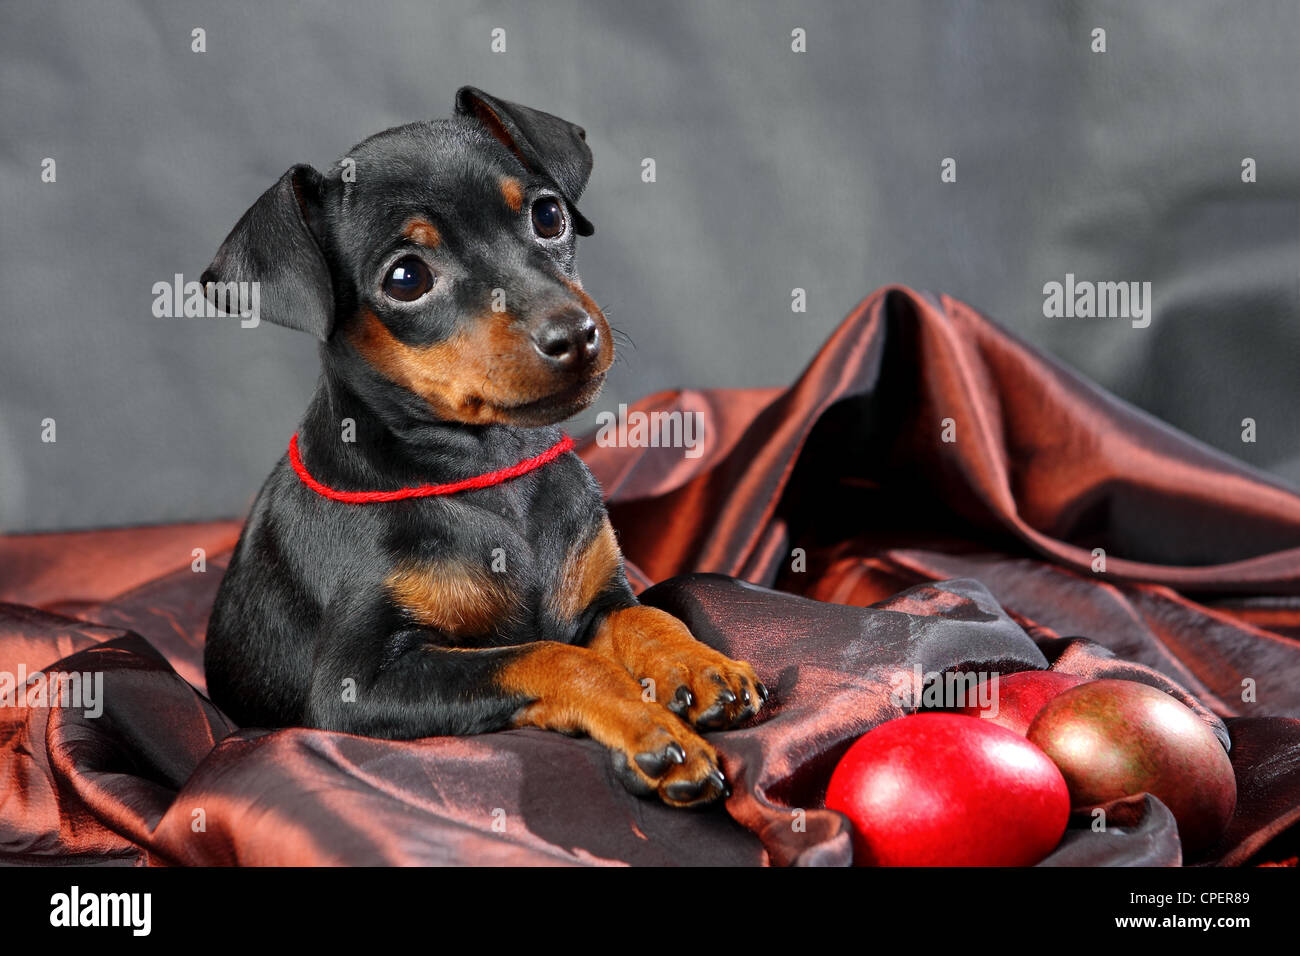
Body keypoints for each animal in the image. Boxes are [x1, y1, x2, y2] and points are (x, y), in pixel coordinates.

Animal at [201, 87, 759, 806]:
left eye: (549, 215)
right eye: (406, 278)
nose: (575, 334)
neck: (491, 470)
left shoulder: (602, 599)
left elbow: (647, 619)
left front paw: (701, 665)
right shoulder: (355, 688)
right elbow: (554, 656)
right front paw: (653, 732)